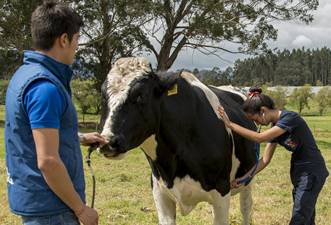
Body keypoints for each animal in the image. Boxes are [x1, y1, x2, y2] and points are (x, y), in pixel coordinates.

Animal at [100, 57, 258, 225]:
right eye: (103, 96)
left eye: (140, 95)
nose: (108, 142)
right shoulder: (159, 192)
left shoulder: (222, 191)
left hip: (248, 177)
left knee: (246, 207)